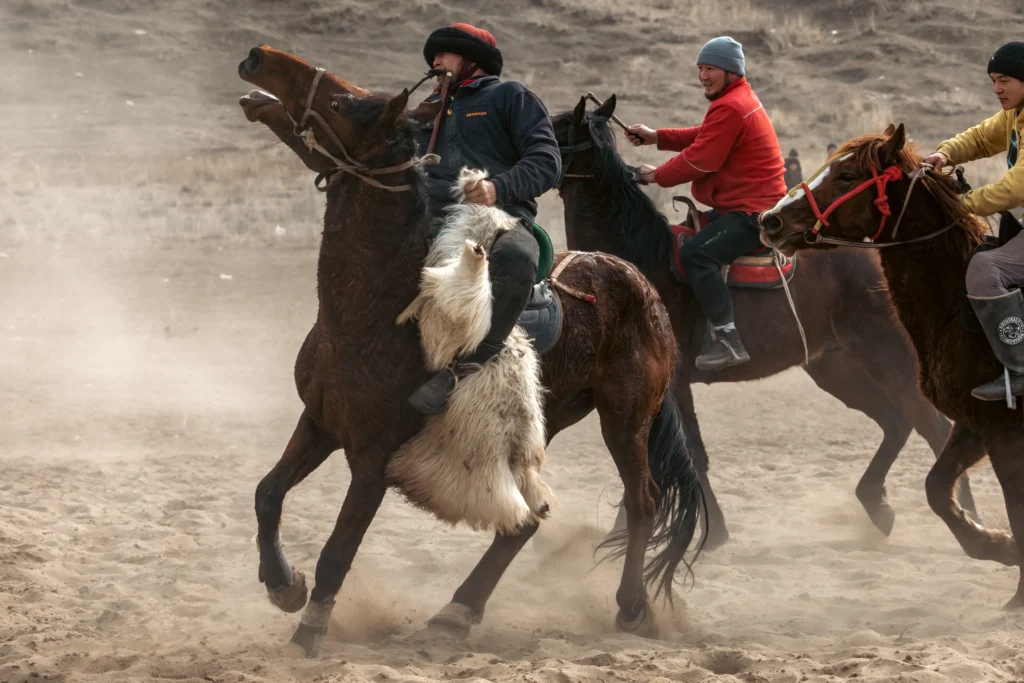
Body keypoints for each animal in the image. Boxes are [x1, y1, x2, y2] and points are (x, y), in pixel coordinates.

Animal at [236, 46, 704, 656]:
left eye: (343, 101)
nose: (258, 57)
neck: (374, 308)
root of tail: (641, 286)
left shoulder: (373, 460)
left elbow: (337, 552)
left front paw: (309, 631)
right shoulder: (319, 422)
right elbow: (267, 493)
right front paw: (282, 585)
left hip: (626, 420)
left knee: (642, 502)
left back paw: (631, 606)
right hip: (547, 423)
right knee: (527, 519)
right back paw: (458, 609)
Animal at [552, 95, 977, 547]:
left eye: (552, 130)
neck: (638, 263)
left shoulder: (674, 384)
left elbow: (687, 454)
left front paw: (714, 532)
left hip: (890, 361)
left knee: (933, 426)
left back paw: (965, 513)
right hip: (835, 368)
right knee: (896, 423)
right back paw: (878, 504)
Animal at [761, 123, 1024, 608]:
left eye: (847, 175)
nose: (770, 221)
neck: (957, 310)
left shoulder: (1004, 432)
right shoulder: (973, 425)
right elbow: (937, 489)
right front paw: (997, 545)